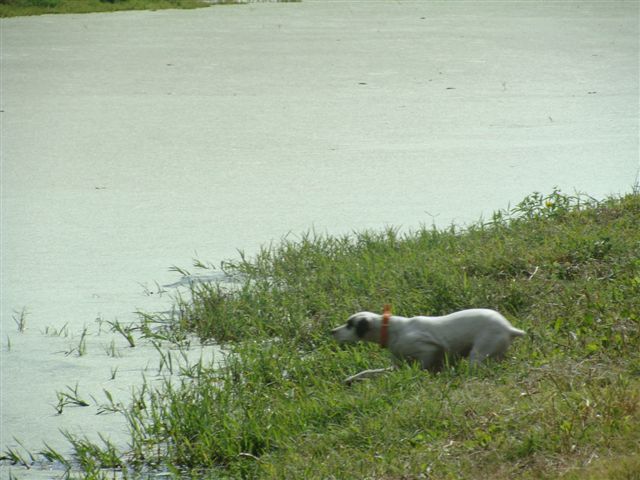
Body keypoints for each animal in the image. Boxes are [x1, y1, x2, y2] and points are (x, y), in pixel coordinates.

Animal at [330, 310, 524, 384]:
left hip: (478, 355)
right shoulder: (396, 366)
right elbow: (368, 372)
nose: (332, 331)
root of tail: (509, 328)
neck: (392, 331)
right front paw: (351, 379)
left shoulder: (429, 350)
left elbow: (422, 369)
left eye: (349, 325)